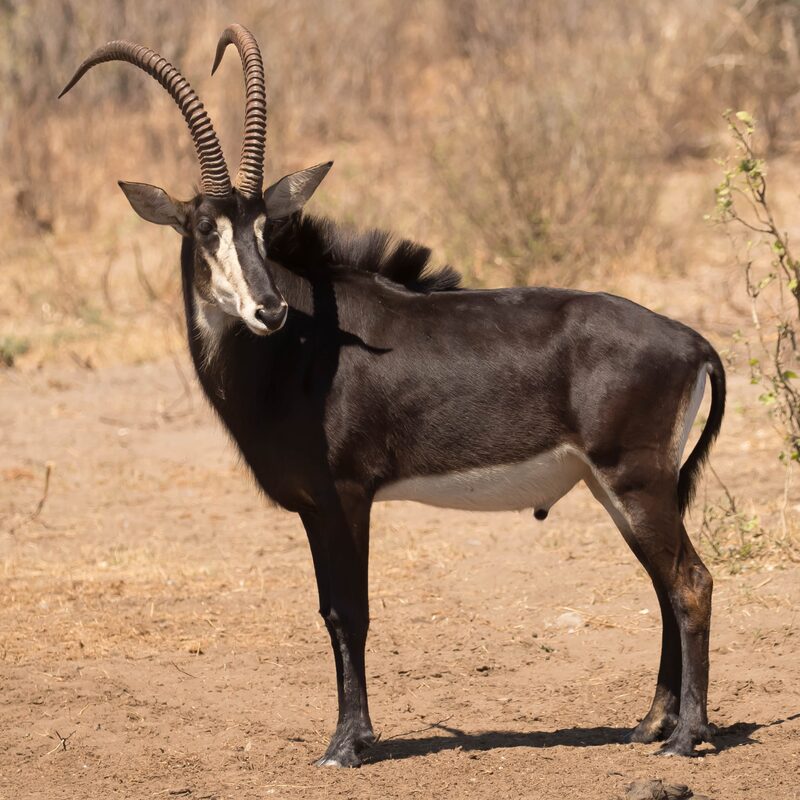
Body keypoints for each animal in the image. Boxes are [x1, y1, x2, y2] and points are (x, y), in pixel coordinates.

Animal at [60, 25, 725, 767]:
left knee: (689, 583)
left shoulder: (347, 495)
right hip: (619, 488)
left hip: (634, 481)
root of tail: (691, 340)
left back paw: (686, 737)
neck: (299, 348)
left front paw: (347, 743)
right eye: (206, 227)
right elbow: (330, 608)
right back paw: (651, 724)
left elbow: (349, 611)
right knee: (664, 585)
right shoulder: (314, 506)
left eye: (264, 227)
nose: (267, 309)